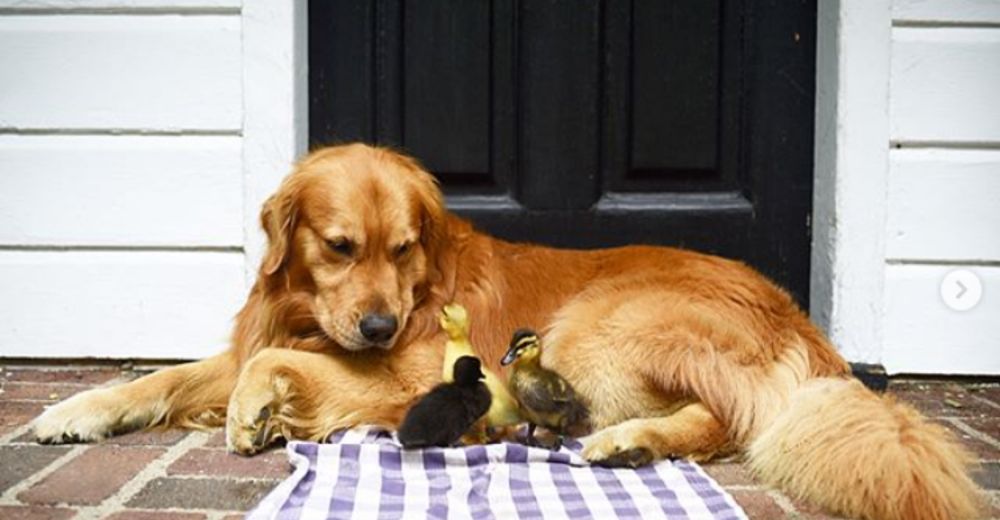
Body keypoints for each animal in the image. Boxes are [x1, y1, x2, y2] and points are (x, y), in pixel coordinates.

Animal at [35, 143, 980, 520]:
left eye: (404, 247)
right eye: (339, 247)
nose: (378, 324)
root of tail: (796, 315)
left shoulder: (404, 372)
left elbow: (261, 366)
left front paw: (253, 409)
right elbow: (162, 376)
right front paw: (74, 410)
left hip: (597, 324)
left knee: (726, 421)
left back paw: (628, 441)